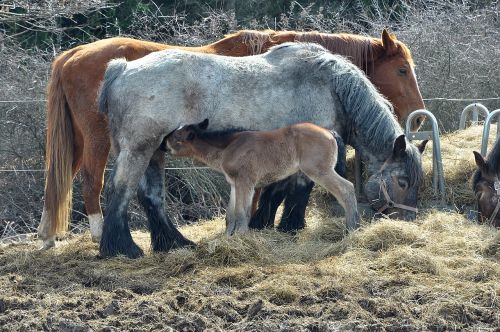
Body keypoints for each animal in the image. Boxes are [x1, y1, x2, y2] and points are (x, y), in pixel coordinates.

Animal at [166, 119, 358, 233]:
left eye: (176, 136)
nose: (163, 143)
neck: (229, 146)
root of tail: (330, 132)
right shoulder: (235, 184)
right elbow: (230, 214)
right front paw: (228, 237)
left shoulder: (246, 183)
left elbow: (242, 213)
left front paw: (240, 236)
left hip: (320, 171)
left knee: (347, 189)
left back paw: (351, 226)